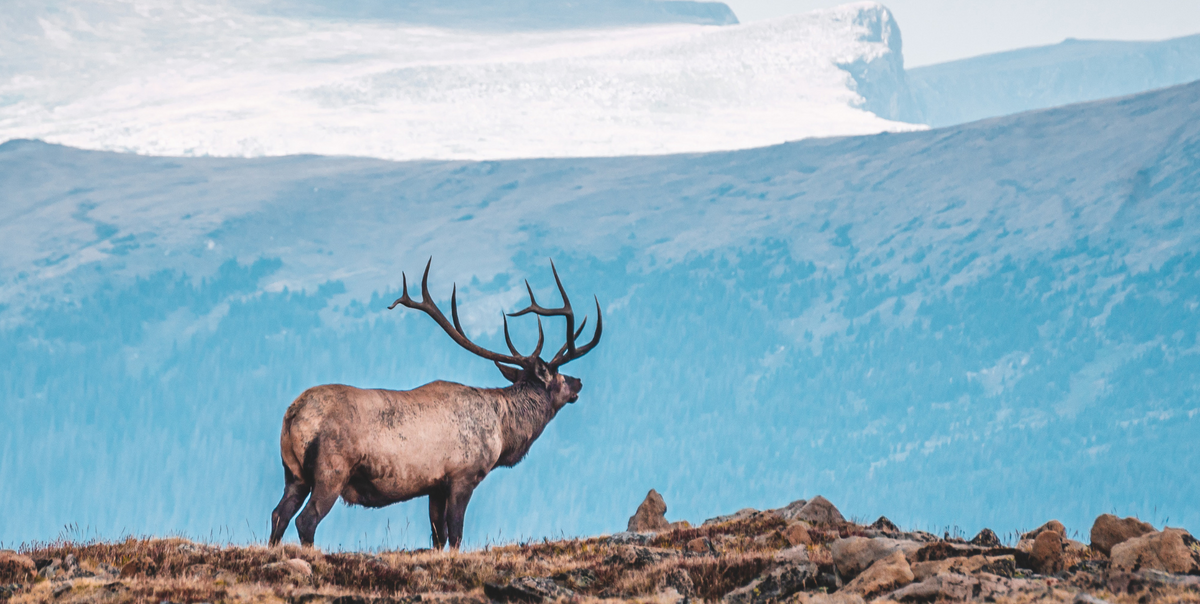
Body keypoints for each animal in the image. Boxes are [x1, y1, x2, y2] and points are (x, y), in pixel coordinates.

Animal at [267, 259, 602, 550]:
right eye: (558, 375)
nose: (578, 382)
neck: (503, 432)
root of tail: (293, 414)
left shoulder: (434, 486)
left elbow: (437, 537)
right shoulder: (462, 476)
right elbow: (455, 533)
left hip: (293, 473)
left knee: (278, 514)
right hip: (332, 470)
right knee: (306, 520)